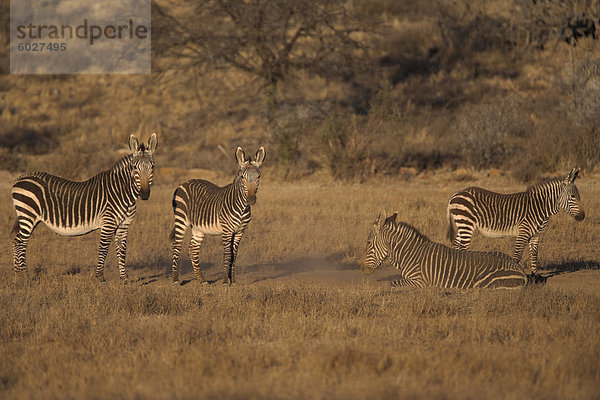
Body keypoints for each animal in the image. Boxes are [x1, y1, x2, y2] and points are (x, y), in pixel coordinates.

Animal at [12, 133, 157, 282]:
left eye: (152, 167)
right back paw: (24, 276)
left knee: (16, 241)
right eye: (134, 167)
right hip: (28, 215)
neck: (122, 193)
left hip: (30, 217)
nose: (144, 194)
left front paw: (124, 279)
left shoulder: (124, 225)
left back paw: (17, 275)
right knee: (20, 242)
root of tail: (21, 177)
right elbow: (103, 249)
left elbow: (122, 250)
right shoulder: (108, 223)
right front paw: (99, 278)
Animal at [168, 145, 264, 286]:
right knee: (176, 246)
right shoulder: (227, 230)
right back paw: (175, 280)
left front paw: (233, 281)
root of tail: (184, 182)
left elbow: (234, 255)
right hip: (181, 218)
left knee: (193, 249)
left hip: (198, 227)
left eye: (258, 176)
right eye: (242, 177)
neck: (242, 207)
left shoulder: (240, 231)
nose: (251, 199)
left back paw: (201, 280)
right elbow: (227, 254)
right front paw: (225, 281)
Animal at [360, 211, 528, 290]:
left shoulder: (420, 281)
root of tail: (520, 269)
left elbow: (392, 283)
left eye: (368, 243)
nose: (363, 269)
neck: (409, 254)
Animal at [448, 166, 584, 276]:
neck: (539, 207)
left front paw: (535, 278)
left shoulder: (536, 235)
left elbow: (534, 256)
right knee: (463, 248)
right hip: (466, 223)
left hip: (462, 224)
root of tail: (455, 194)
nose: (582, 216)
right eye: (573, 196)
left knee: (456, 245)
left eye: (579, 196)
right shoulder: (523, 232)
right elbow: (517, 256)